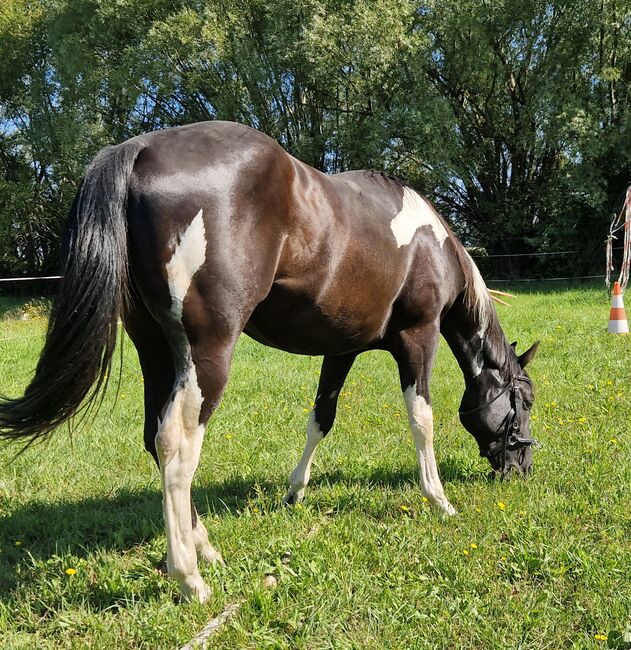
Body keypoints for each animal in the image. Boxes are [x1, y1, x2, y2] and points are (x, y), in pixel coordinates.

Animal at [1, 120, 544, 596]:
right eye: (523, 402)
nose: (521, 469)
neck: (430, 242)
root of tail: (138, 150)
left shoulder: (341, 349)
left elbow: (321, 418)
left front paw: (294, 492)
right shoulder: (418, 337)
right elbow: (422, 419)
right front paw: (439, 499)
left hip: (157, 352)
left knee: (154, 438)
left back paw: (206, 549)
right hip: (206, 356)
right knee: (176, 446)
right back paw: (190, 578)